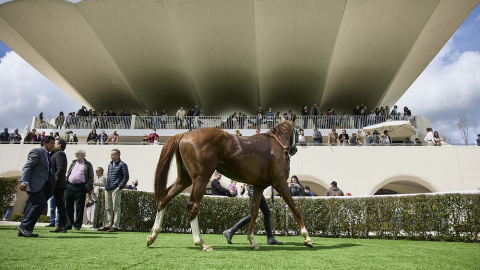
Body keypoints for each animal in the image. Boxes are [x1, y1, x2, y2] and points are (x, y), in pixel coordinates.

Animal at [144, 118, 314, 251]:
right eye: (298, 131)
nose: (294, 149)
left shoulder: (258, 186)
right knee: (192, 205)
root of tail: (184, 134)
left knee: (164, 199)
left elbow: (254, 213)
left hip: (184, 178)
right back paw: (201, 243)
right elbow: (295, 208)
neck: (275, 145)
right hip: (201, 177)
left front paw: (252, 240)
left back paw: (153, 235)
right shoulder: (280, 183)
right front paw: (307, 237)